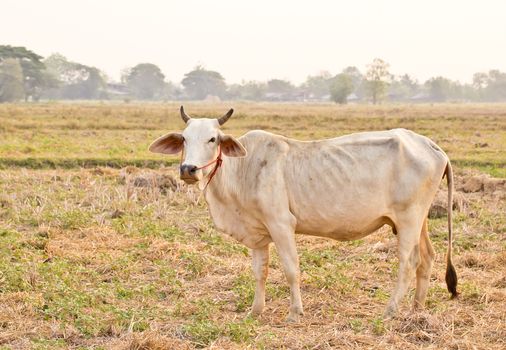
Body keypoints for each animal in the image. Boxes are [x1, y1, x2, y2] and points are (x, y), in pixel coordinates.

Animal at [147, 106, 458, 322]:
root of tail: (432, 146)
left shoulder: (281, 224)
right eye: (184, 139)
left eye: (212, 139)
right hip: (419, 221)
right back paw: (417, 310)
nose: (188, 169)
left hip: (408, 220)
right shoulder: (258, 233)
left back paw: (391, 310)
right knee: (427, 258)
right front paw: (255, 311)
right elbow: (260, 272)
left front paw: (295, 312)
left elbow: (290, 269)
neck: (243, 168)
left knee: (408, 262)